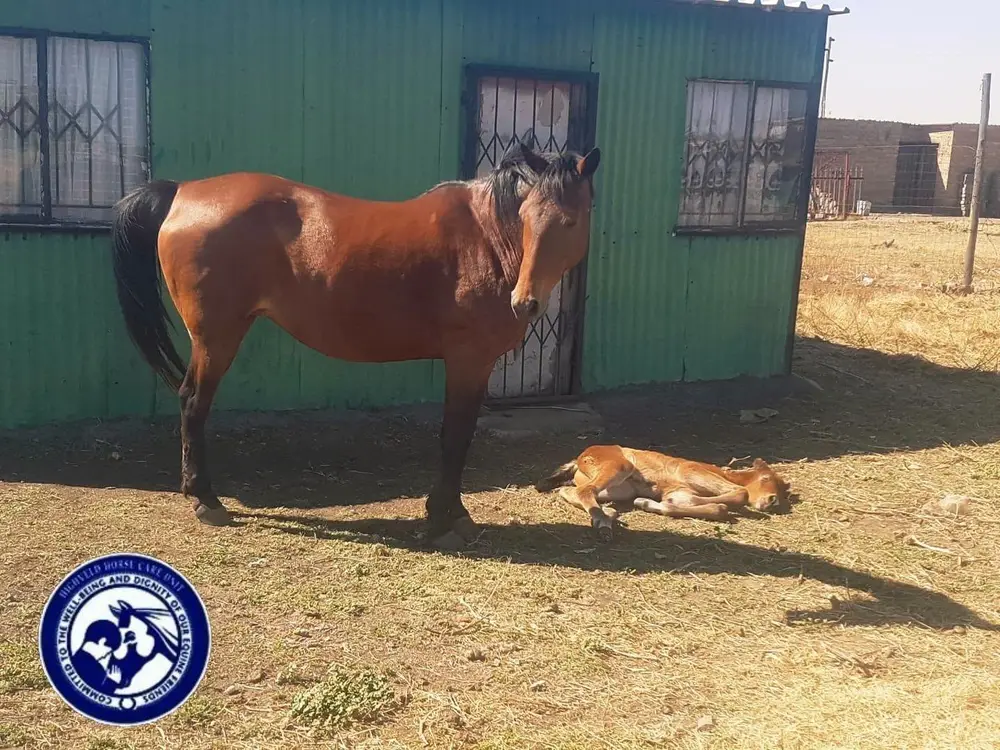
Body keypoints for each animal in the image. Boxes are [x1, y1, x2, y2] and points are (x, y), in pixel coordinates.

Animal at [111, 142, 601, 550]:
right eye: (526, 219)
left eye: (570, 221)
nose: (525, 302)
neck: (486, 238)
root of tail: (182, 192)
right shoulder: (468, 360)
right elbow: (456, 436)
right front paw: (445, 517)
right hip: (217, 337)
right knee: (193, 402)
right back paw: (206, 500)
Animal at [534, 446, 790, 540]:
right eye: (766, 478)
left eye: (781, 488)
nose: (772, 501)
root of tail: (581, 456)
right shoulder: (691, 472)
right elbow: (737, 496)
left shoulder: (682, 488)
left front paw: (649, 503)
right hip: (620, 467)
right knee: (585, 491)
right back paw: (602, 522)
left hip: (619, 490)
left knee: (570, 491)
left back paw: (609, 514)